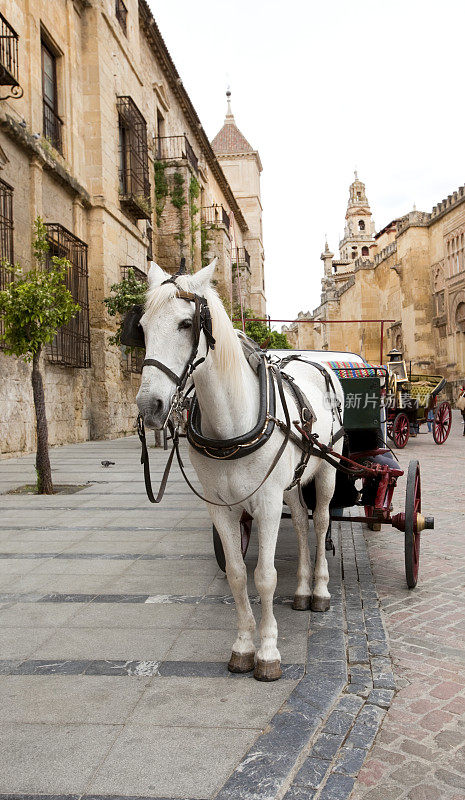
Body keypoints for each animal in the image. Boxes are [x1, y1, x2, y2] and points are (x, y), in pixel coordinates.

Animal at [136, 260, 342, 680]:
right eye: (143, 326)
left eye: (186, 323)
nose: (149, 407)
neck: (231, 424)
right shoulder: (220, 507)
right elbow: (235, 573)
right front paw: (245, 645)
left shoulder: (266, 503)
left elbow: (264, 577)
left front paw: (268, 651)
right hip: (291, 482)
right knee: (300, 522)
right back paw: (302, 590)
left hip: (327, 472)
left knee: (320, 522)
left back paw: (319, 590)